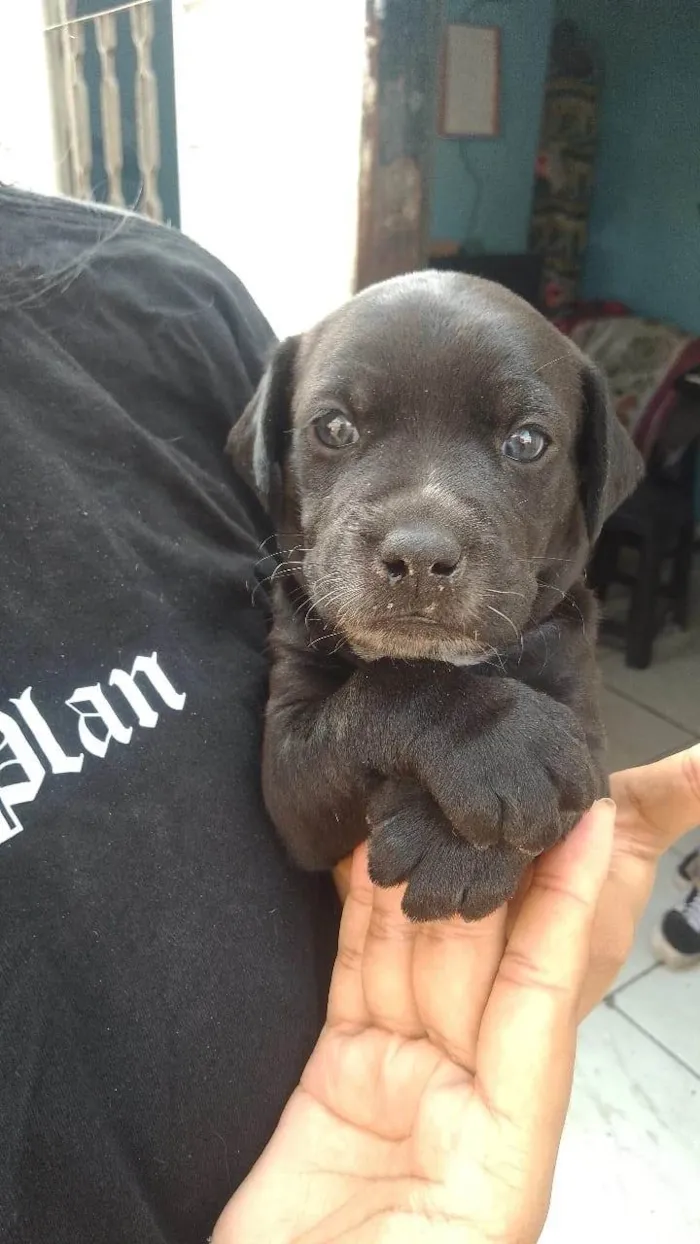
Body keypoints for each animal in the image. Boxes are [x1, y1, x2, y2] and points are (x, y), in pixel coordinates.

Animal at [227, 274, 641, 925]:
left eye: (527, 441)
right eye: (334, 428)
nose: (419, 557)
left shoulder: (591, 750)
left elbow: (567, 789)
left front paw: (452, 850)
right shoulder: (289, 769)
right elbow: (389, 684)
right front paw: (502, 744)